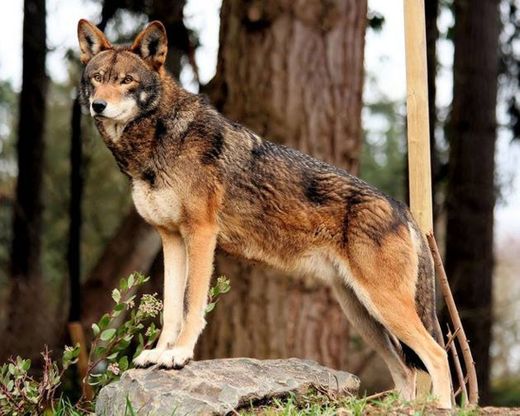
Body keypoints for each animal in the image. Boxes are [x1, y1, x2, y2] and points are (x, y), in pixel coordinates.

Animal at [77, 18, 450, 406]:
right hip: (363, 314)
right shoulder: (171, 239)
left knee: (437, 355)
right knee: (406, 370)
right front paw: (160, 354)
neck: (159, 139)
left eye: (127, 81)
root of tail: (403, 209)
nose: (98, 105)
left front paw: (179, 355)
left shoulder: (201, 233)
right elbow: (171, 308)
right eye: (97, 78)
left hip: (384, 307)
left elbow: (192, 304)